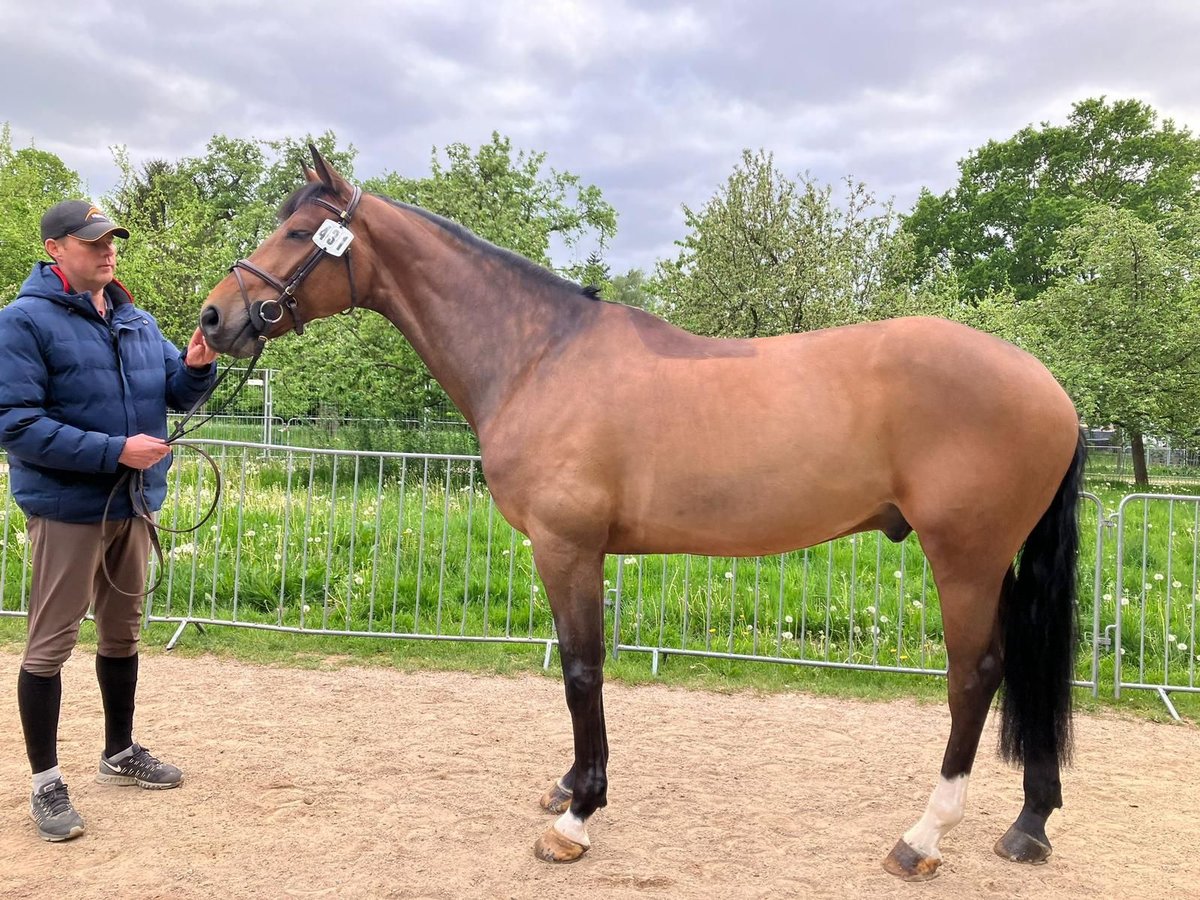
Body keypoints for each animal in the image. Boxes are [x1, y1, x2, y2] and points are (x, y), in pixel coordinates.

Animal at [199, 146, 1089, 883]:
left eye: (300, 230)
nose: (214, 320)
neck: (538, 357)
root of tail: (1051, 389)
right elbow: (576, 667)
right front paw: (568, 787)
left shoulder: (566, 548)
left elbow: (581, 670)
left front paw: (578, 817)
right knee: (1025, 666)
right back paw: (1030, 823)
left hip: (965, 557)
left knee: (975, 675)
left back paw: (923, 837)